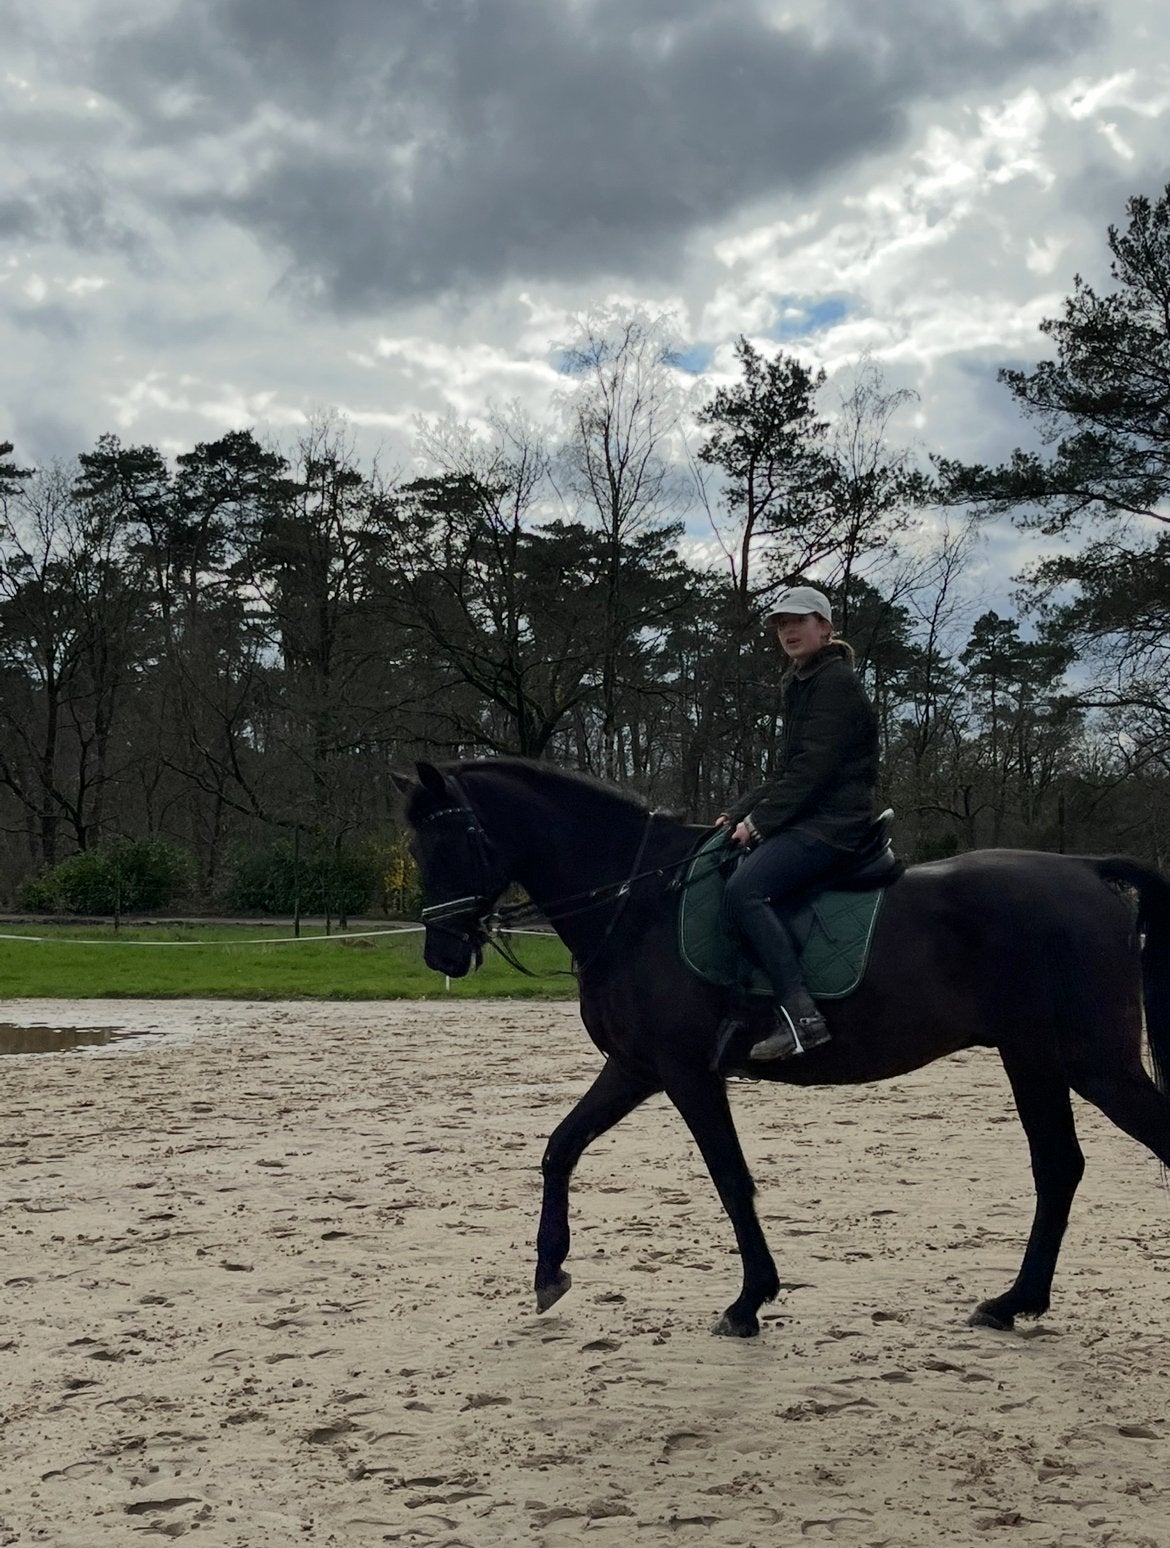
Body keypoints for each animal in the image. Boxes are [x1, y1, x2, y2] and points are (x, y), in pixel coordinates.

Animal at [396, 757, 1170, 1339]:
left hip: (1094, 1065)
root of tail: (1087, 870)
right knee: (1058, 1168)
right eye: (417, 849)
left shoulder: (686, 1072)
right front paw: (549, 1273)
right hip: (1033, 1059)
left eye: (451, 842)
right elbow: (561, 1147)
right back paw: (1013, 1303)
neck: (637, 901)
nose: (442, 952)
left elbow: (730, 1178)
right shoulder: (637, 1067)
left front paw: (749, 1300)